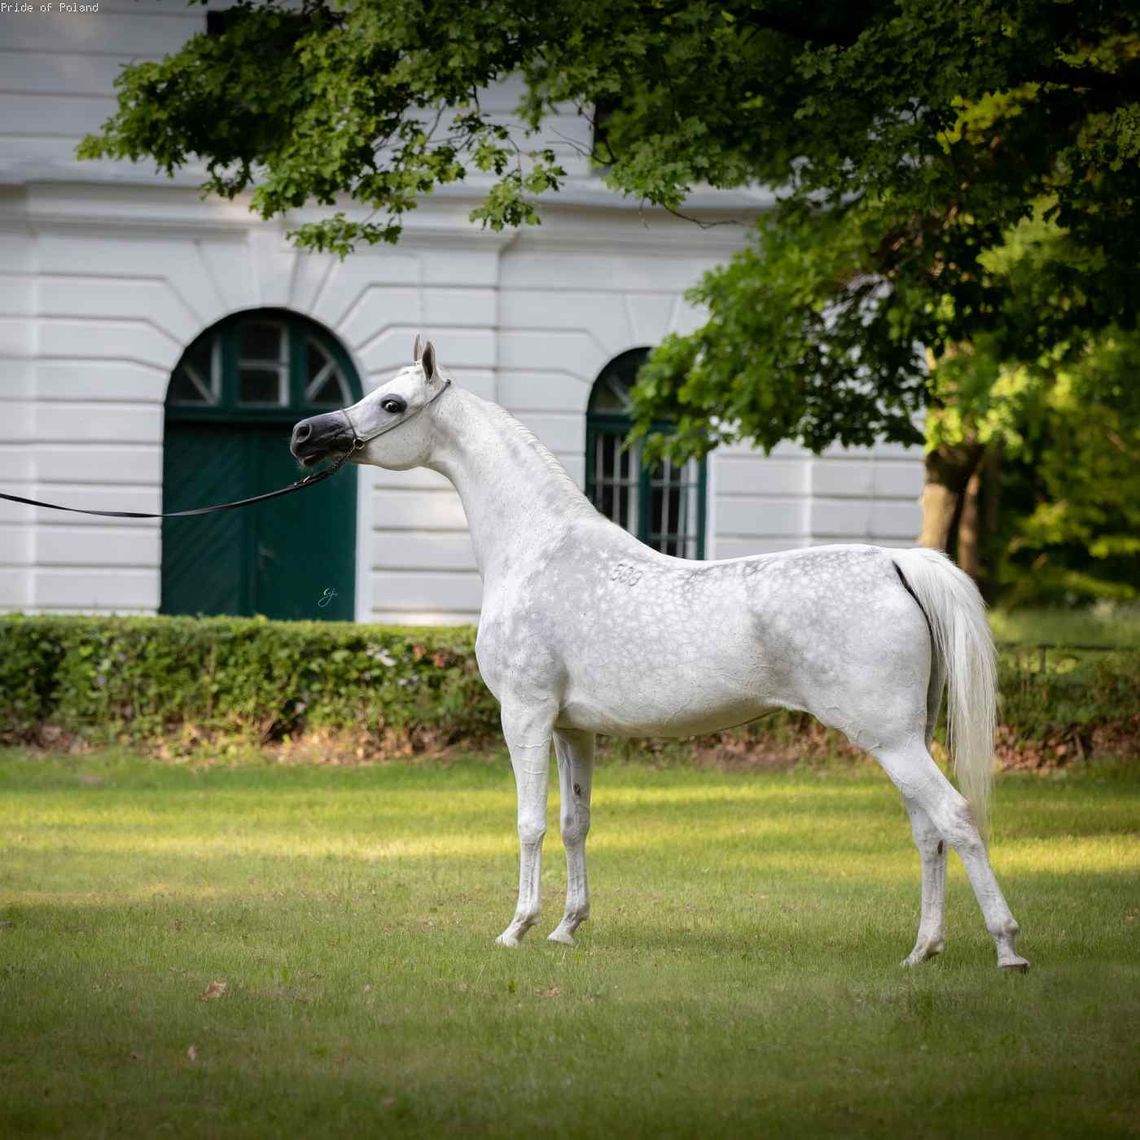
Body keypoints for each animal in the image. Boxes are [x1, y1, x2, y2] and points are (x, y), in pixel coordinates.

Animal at [289, 337, 1030, 971]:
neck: (536, 548)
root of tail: (897, 564)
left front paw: (518, 928)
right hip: (905, 737)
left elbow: (530, 824)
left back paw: (1007, 948)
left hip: (890, 738)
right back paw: (922, 950)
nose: (304, 435)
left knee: (957, 819)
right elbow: (574, 823)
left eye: (391, 404)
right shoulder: (572, 728)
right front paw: (566, 928)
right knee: (928, 832)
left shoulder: (525, 716)